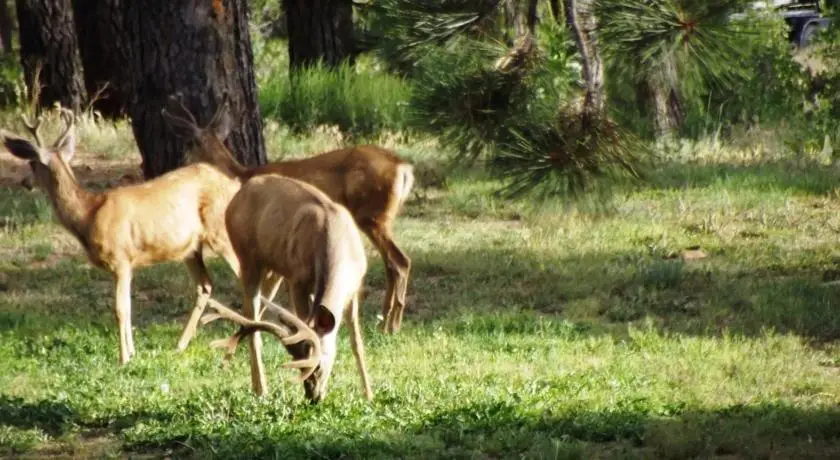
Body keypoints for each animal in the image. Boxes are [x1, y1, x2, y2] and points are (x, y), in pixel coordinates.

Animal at [0, 106, 251, 364]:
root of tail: (234, 183)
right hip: (190, 248)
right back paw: (180, 345)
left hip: (221, 234)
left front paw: (123, 359)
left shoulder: (120, 259)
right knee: (205, 286)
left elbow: (119, 310)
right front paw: (132, 353)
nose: (24, 182)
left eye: (31, 163)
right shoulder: (126, 265)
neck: (88, 214)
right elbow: (129, 308)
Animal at [161, 95, 414, 336]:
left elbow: (266, 290)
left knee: (400, 261)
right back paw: (385, 322)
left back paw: (393, 325)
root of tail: (403, 167)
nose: (178, 166)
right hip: (379, 218)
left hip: (372, 217)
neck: (240, 176)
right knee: (392, 264)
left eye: (188, 146)